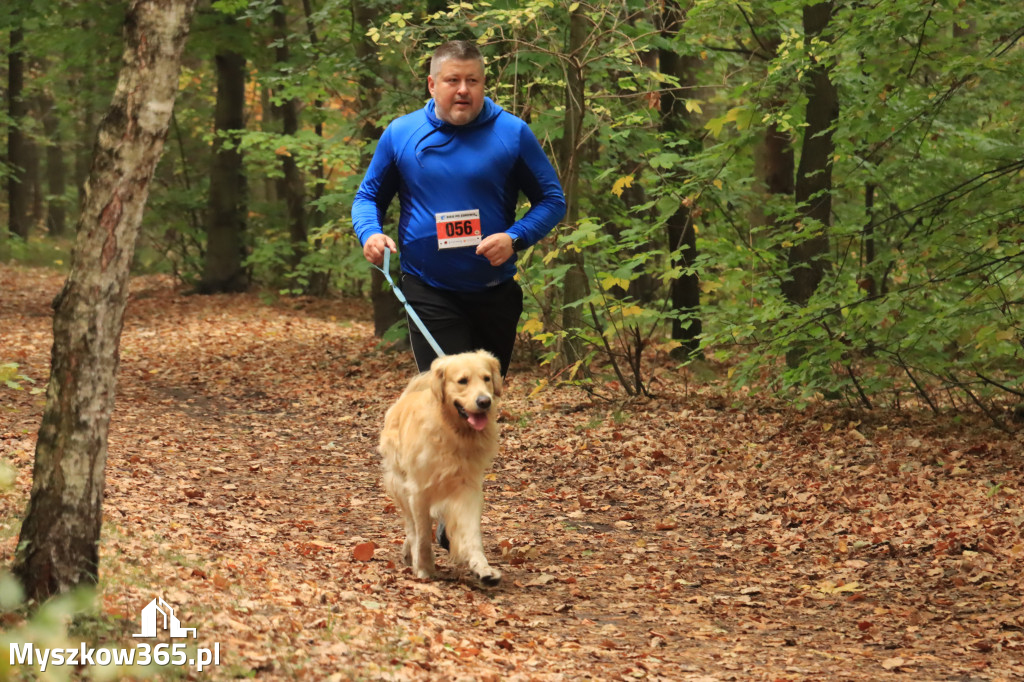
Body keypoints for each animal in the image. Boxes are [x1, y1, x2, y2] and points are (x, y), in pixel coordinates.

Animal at [378, 350, 501, 585]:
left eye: (486, 378)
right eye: (463, 381)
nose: (484, 401)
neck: (452, 431)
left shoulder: (467, 488)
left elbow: (471, 532)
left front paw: (483, 568)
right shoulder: (418, 490)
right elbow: (423, 535)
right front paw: (424, 567)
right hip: (400, 484)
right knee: (411, 527)